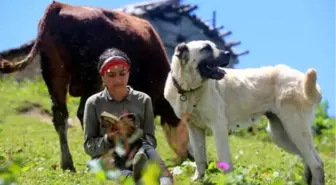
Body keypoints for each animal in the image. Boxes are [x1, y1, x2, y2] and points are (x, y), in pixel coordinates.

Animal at [0, 1, 192, 172]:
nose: (189, 156)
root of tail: (58, 6)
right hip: (89, 77)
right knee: (81, 113)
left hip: (54, 74)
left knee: (60, 115)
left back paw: (67, 164)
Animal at [164, 40, 324, 185]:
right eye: (206, 48)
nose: (228, 53)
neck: (190, 90)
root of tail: (300, 76)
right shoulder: (194, 129)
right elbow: (199, 157)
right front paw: (198, 179)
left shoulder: (218, 127)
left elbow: (223, 157)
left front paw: (227, 180)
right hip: (281, 134)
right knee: (311, 159)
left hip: (295, 129)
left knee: (316, 163)